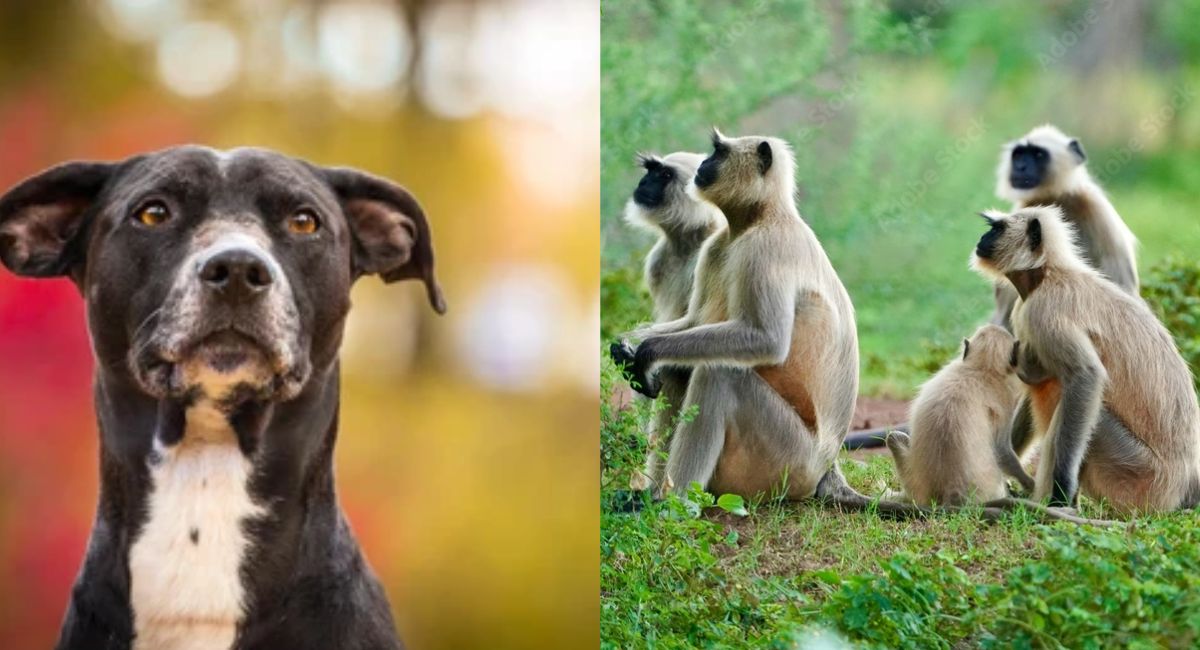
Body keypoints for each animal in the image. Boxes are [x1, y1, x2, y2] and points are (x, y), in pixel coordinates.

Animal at [885, 325, 1035, 507]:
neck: (981, 369)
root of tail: (950, 495)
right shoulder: (1004, 401)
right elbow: (1001, 449)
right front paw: (1030, 484)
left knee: (893, 437)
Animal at [972, 205, 1200, 515]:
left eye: (997, 228)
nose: (982, 238)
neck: (1048, 274)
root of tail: (1184, 485)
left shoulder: (1043, 310)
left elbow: (1086, 375)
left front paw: (1060, 489)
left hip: (1139, 476)